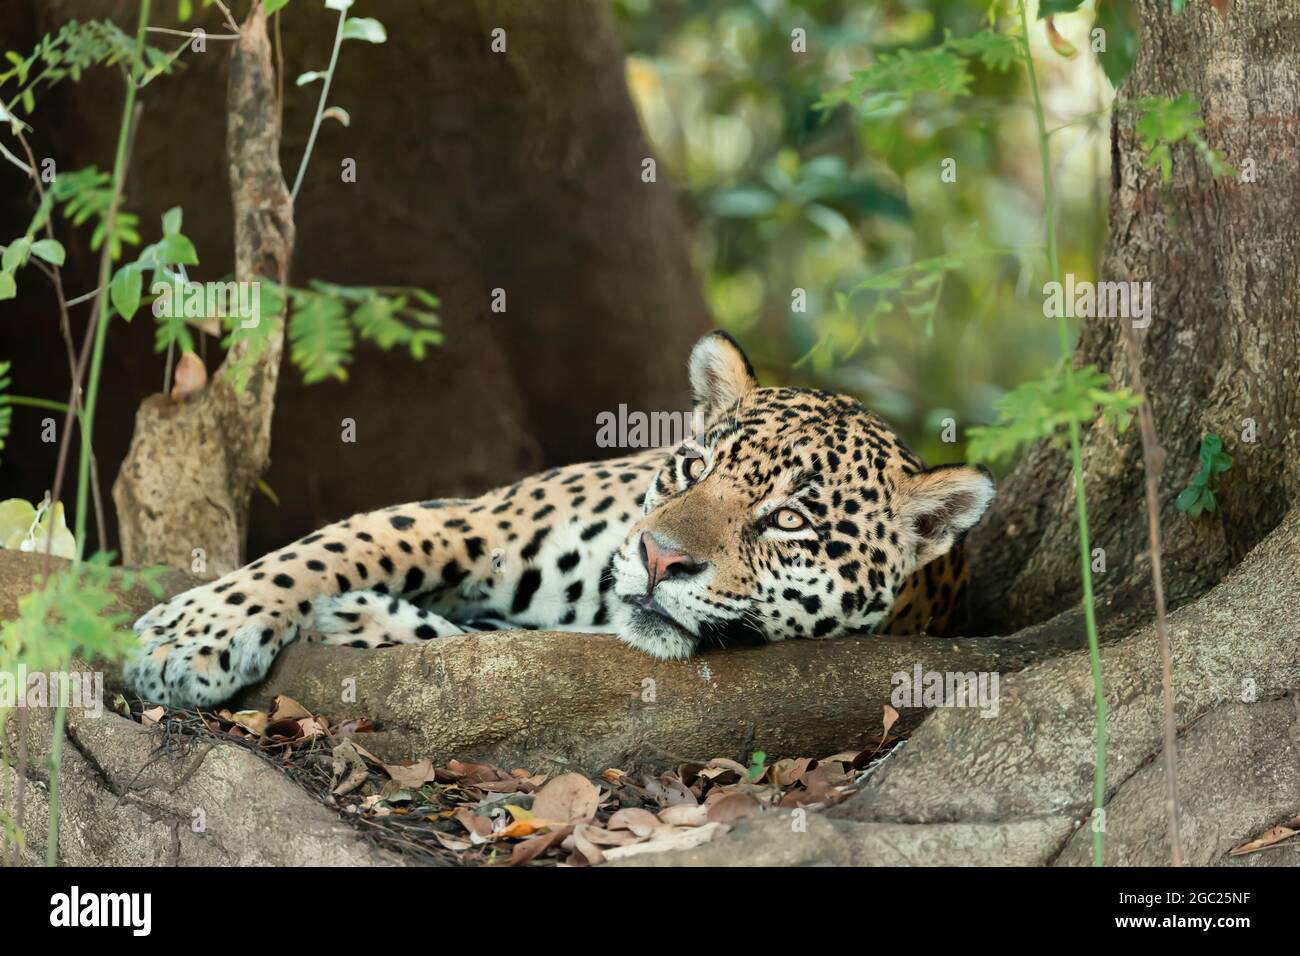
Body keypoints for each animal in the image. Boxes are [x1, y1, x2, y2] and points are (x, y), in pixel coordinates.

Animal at [126, 331, 994, 709]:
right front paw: (184, 637)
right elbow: (335, 544)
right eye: (693, 468)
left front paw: (366, 622)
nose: (658, 556)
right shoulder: (479, 519)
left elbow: (474, 647)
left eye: (787, 520)